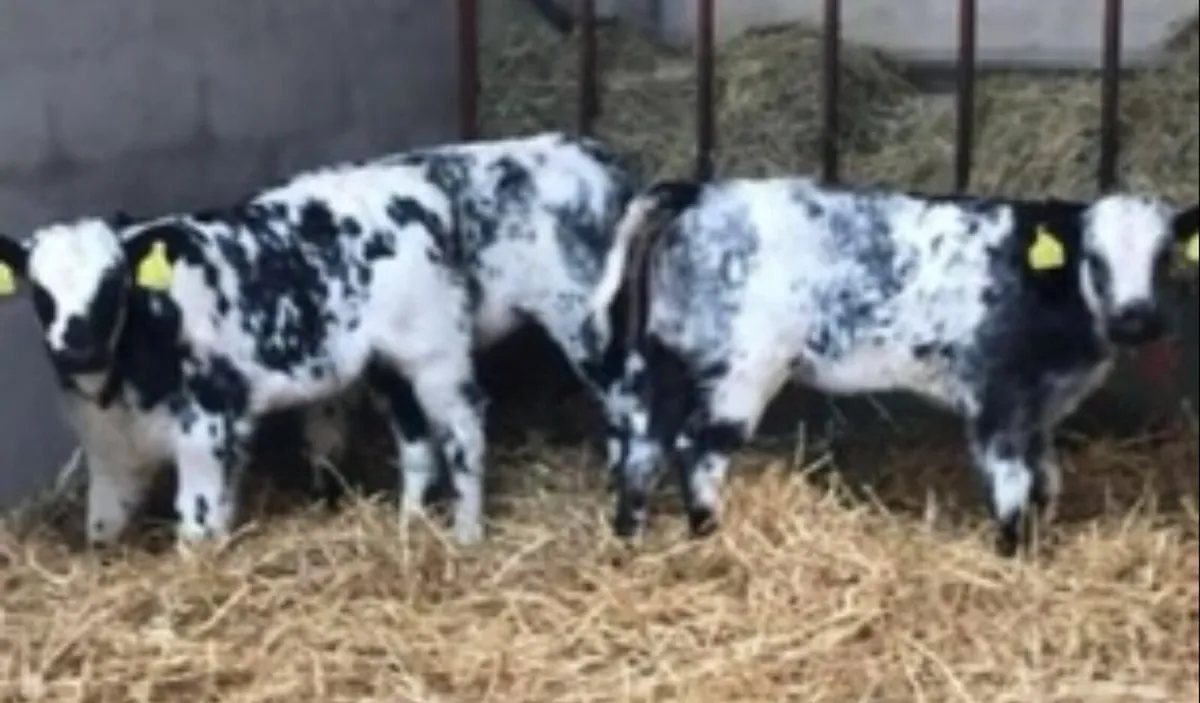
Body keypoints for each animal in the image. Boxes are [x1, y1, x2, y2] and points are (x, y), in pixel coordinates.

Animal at [0, 130, 637, 547]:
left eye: (114, 281)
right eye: (40, 291)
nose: (76, 345)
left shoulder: (207, 427)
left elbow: (197, 526)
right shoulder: (109, 452)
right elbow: (103, 529)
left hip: (462, 348)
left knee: (467, 433)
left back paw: (471, 533)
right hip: (389, 365)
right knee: (417, 443)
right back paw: (410, 525)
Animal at [583, 176, 1198, 555]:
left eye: (1164, 256)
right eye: (1094, 258)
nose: (1136, 321)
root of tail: (700, 192)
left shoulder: (1041, 411)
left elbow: (1047, 479)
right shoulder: (997, 398)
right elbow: (1011, 480)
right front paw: (1011, 552)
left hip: (668, 359)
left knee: (644, 450)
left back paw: (632, 540)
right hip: (744, 370)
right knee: (700, 450)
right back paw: (710, 537)